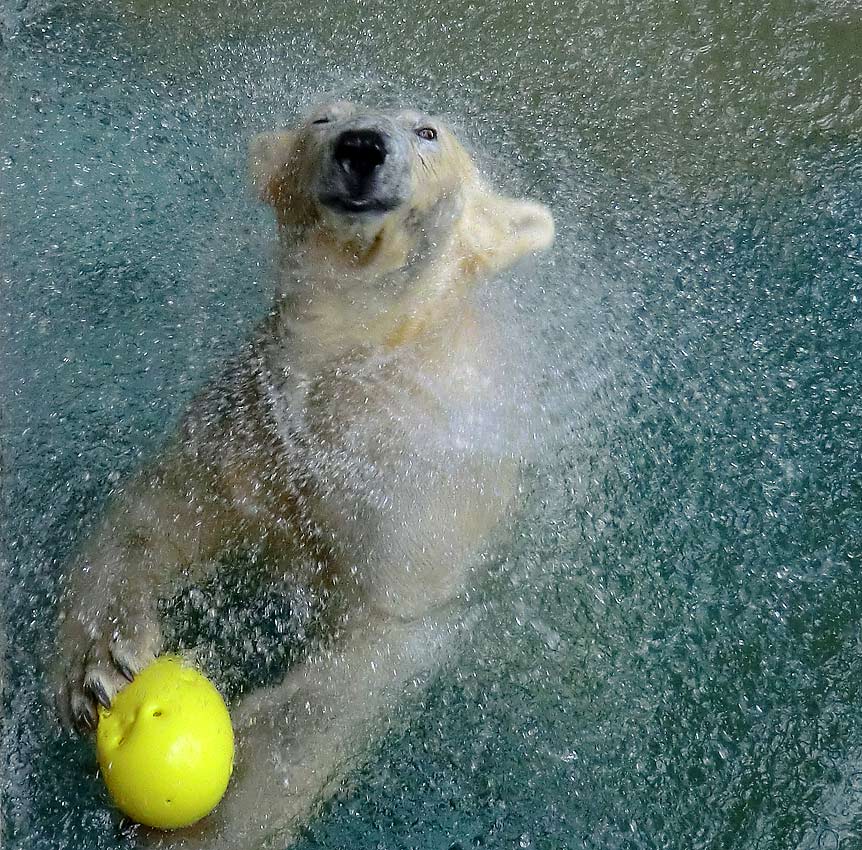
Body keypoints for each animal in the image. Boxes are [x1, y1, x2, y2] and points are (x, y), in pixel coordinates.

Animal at [54, 102, 556, 844]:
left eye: (428, 132)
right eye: (323, 117)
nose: (361, 146)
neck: (356, 353)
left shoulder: (415, 491)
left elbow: (362, 655)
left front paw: (213, 819)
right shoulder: (251, 421)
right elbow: (160, 508)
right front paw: (101, 666)